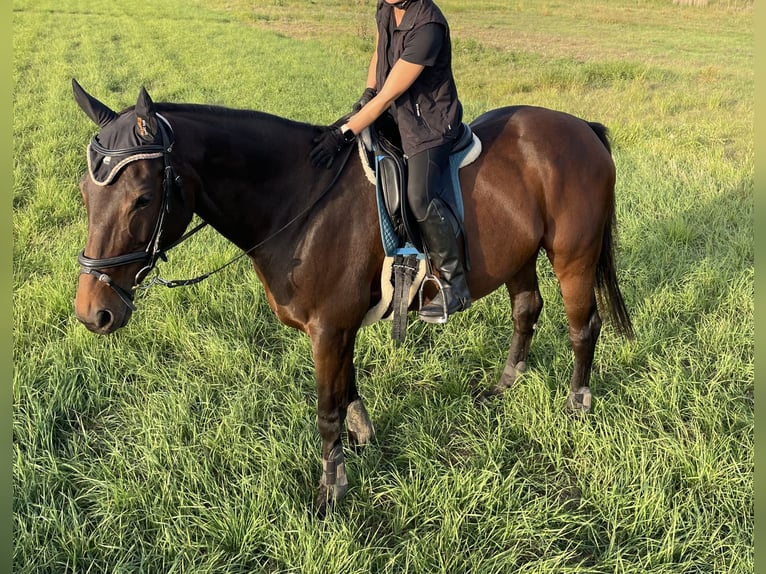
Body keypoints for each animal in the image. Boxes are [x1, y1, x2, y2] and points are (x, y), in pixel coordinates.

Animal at [70, 79, 636, 516]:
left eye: (143, 197)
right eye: (85, 191)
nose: (94, 313)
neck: (297, 199)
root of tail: (581, 128)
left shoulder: (329, 328)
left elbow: (327, 408)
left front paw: (331, 491)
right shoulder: (339, 327)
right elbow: (346, 390)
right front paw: (362, 440)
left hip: (573, 256)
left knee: (582, 327)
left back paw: (577, 405)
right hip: (518, 256)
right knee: (526, 310)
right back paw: (504, 385)